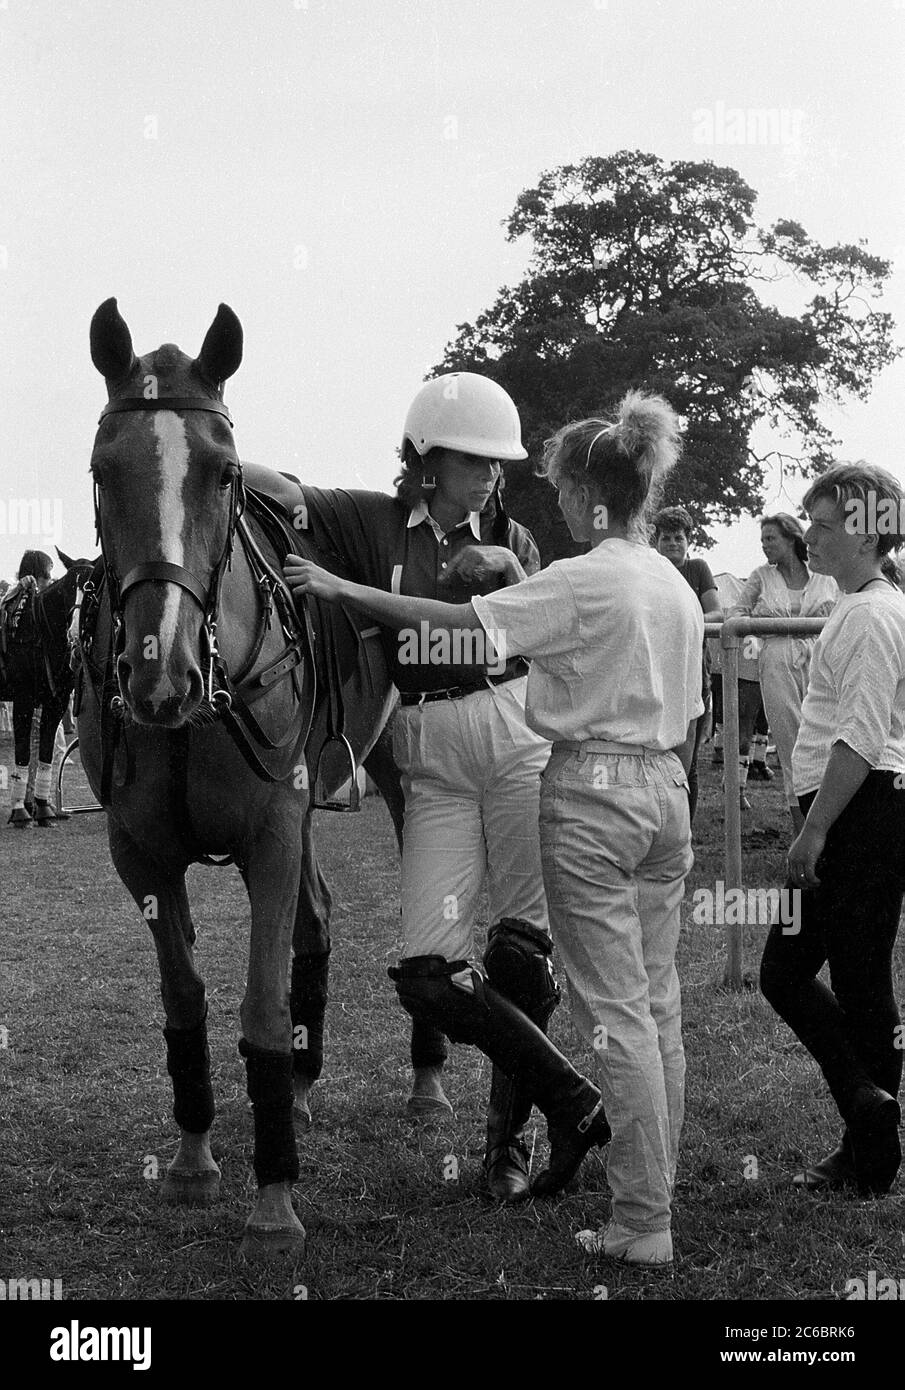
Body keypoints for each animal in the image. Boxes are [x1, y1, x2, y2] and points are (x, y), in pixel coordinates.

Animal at [77, 296, 403, 1262]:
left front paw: (274, 1198)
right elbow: (183, 995)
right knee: (316, 921)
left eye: (221, 474)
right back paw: (295, 1088)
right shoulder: (140, 854)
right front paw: (195, 1157)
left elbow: (258, 1009)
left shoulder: (267, 838)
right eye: (103, 469)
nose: (160, 673)